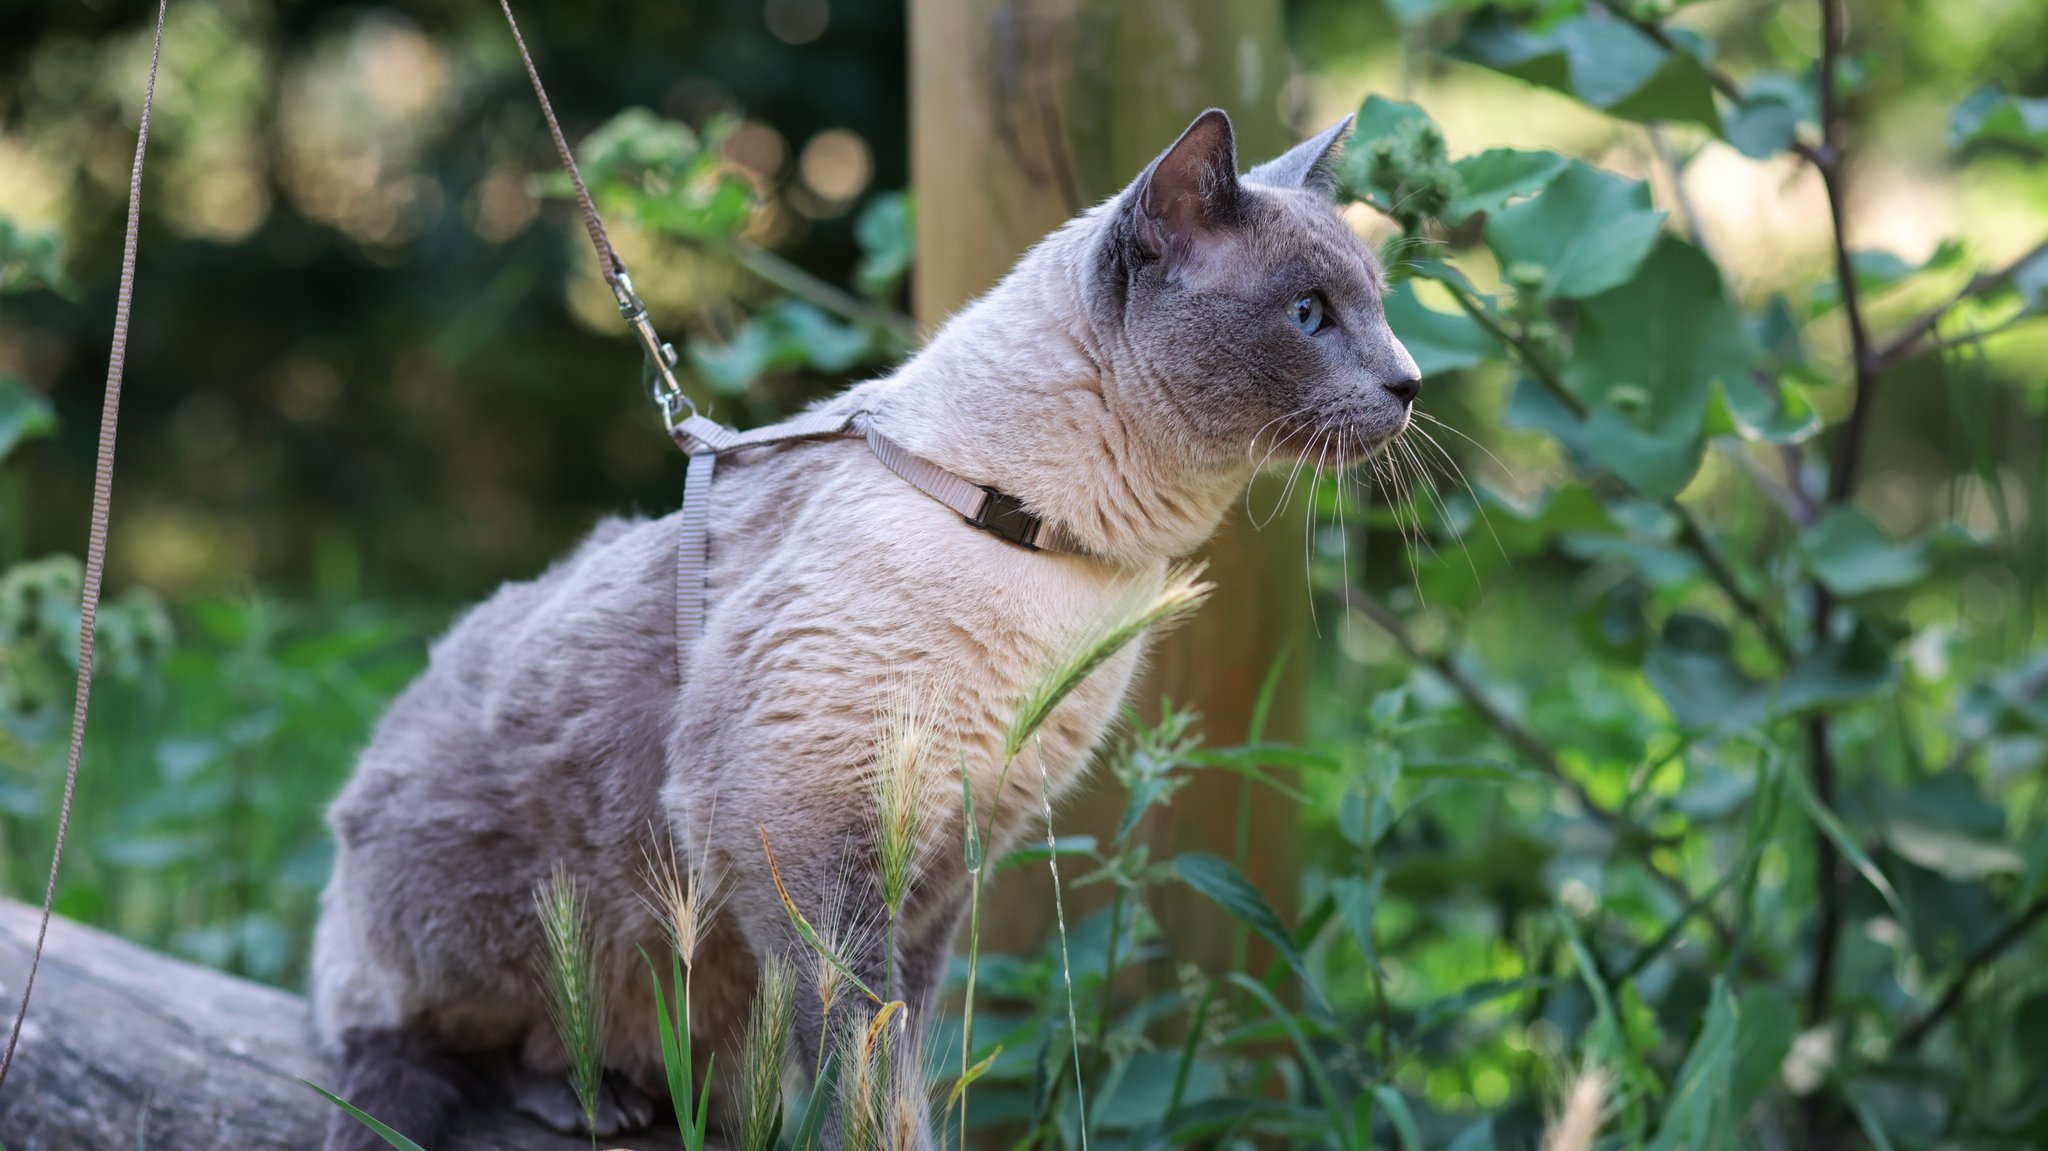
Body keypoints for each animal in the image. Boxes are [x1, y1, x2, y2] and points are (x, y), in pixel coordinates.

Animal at [307, 109, 1425, 1146]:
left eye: (1374, 304)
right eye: (1308, 314)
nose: (1411, 381)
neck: (1047, 545)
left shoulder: (946, 855)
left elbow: (908, 1055)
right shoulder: (810, 832)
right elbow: (857, 1058)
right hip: (496, 907)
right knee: (433, 1039)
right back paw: (595, 1100)